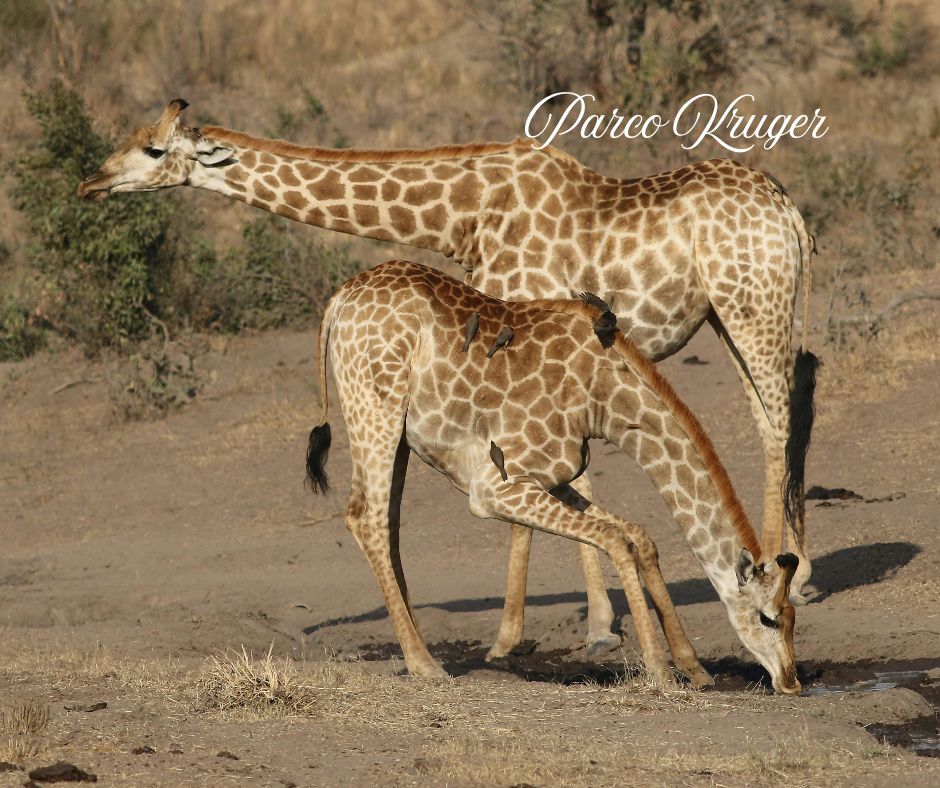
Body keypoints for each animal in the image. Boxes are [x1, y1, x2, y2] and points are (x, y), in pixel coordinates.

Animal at [77, 99, 818, 648]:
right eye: (130, 138)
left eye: (152, 150)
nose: (90, 181)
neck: (458, 215)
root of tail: (791, 211)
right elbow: (563, 482)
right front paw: (582, 623)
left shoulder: (531, 321)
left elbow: (549, 487)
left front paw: (533, 633)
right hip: (733, 314)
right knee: (780, 412)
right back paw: (788, 565)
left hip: (753, 305)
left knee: (779, 421)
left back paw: (791, 570)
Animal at [303, 259, 801, 694]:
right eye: (768, 617)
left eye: (793, 616)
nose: (791, 681)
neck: (604, 399)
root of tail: (340, 299)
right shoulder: (493, 489)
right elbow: (617, 540)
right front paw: (661, 673)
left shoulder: (553, 477)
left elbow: (639, 536)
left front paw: (694, 668)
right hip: (376, 409)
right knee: (365, 518)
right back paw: (424, 664)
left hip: (399, 434)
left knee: (386, 524)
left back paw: (422, 651)